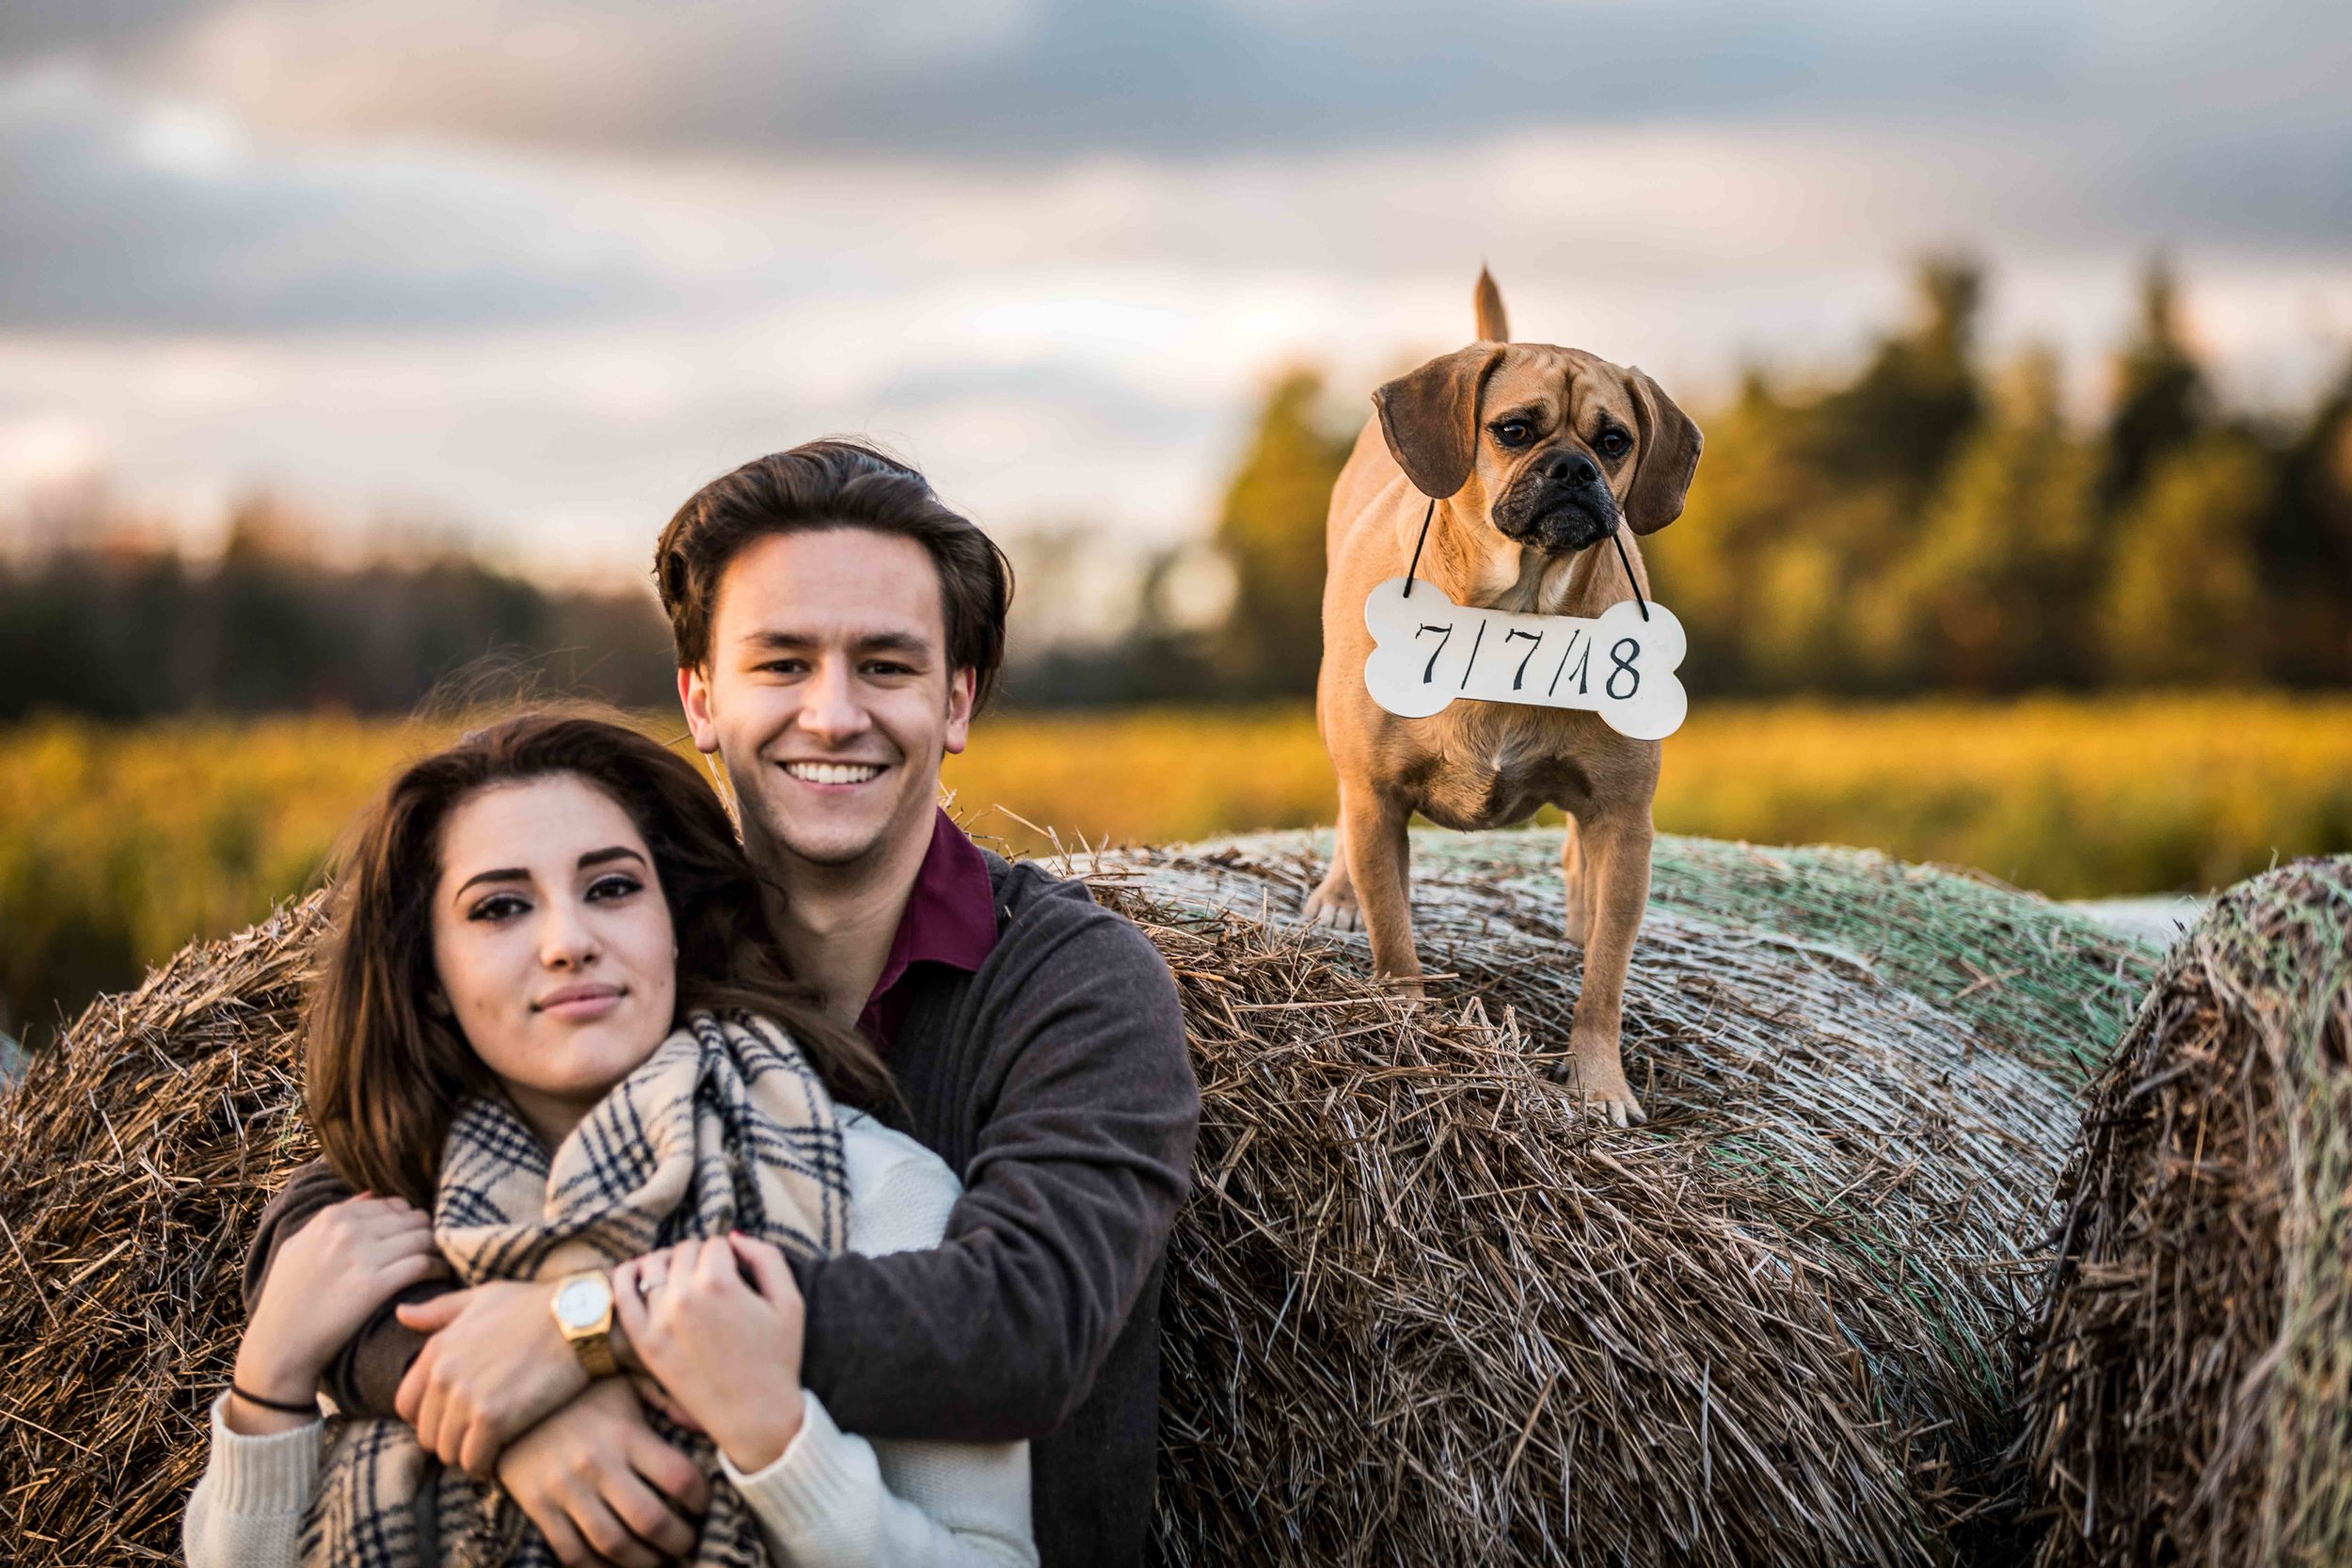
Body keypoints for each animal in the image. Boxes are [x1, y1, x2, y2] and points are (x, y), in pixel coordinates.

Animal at [1317, 270, 1703, 1128]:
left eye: (1615, 441)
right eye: (1514, 430)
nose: (1574, 471)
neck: (1518, 608)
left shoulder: (1625, 819)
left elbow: (1605, 982)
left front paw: (1599, 1080)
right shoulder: (1377, 798)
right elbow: (1395, 941)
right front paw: (1411, 1031)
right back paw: (1336, 893)